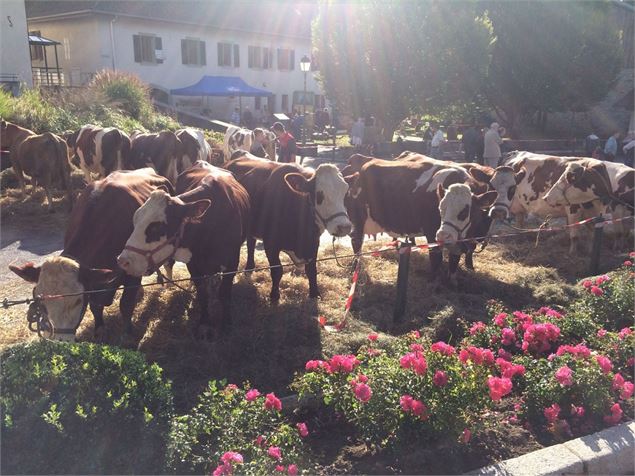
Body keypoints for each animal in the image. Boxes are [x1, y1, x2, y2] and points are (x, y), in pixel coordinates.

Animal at [9, 169, 174, 340]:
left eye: (78, 300)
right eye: (39, 300)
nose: (58, 341)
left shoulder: (132, 270)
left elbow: (126, 304)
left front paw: (128, 334)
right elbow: (95, 306)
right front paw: (99, 330)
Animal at [117, 162, 248, 336]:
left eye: (157, 227)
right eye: (135, 220)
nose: (123, 261)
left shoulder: (232, 261)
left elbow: (225, 294)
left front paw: (226, 323)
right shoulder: (193, 263)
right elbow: (202, 293)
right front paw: (204, 323)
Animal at [226, 152, 352, 302]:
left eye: (346, 192)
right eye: (319, 194)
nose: (344, 227)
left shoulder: (314, 242)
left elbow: (311, 270)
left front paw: (314, 294)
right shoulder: (271, 243)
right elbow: (277, 270)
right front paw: (274, 296)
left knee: (251, 242)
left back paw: (250, 267)